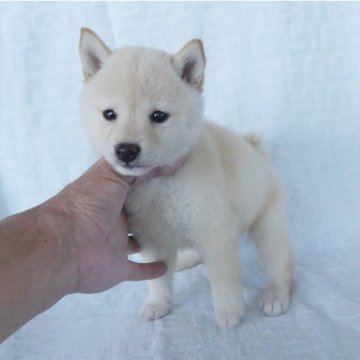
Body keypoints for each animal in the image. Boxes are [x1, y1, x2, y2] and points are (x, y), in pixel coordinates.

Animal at [78, 27, 292, 326]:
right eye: (109, 114)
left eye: (158, 116)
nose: (126, 150)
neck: (160, 183)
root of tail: (257, 152)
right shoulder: (153, 240)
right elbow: (158, 279)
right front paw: (159, 304)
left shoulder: (216, 234)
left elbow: (225, 281)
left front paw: (229, 312)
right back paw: (185, 260)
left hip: (268, 225)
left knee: (280, 263)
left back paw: (276, 295)